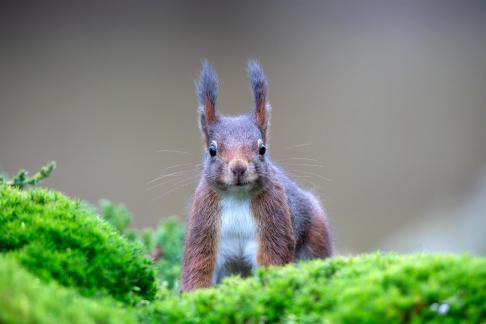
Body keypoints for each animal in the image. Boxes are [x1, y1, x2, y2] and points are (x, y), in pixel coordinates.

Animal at [180, 60, 332, 292]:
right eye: (212, 150)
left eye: (262, 149)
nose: (238, 168)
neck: (237, 197)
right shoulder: (204, 226)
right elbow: (199, 265)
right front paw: (195, 295)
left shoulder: (274, 221)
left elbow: (272, 259)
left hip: (316, 234)